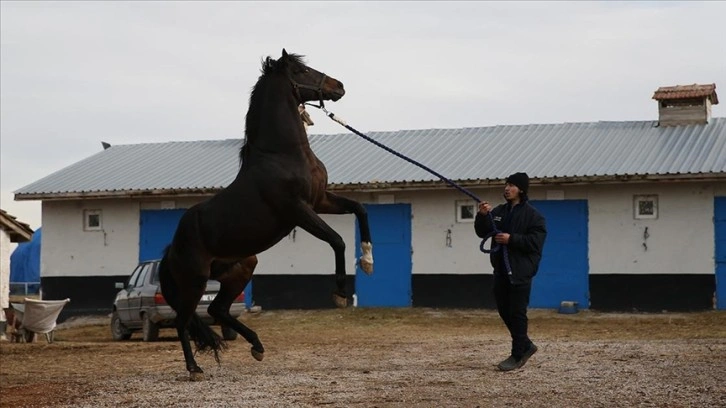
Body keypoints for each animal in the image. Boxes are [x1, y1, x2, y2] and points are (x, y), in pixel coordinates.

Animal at [159, 49, 376, 380]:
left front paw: (367, 260)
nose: (338, 85)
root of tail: (172, 248)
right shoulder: (298, 210)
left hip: (241, 269)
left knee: (217, 310)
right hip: (194, 282)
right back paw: (195, 368)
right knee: (183, 321)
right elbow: (337, 240)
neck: (283, 154)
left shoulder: (321, 200)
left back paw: (257, 346)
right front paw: (340, 293)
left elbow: (360, 209)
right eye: (302, 70)